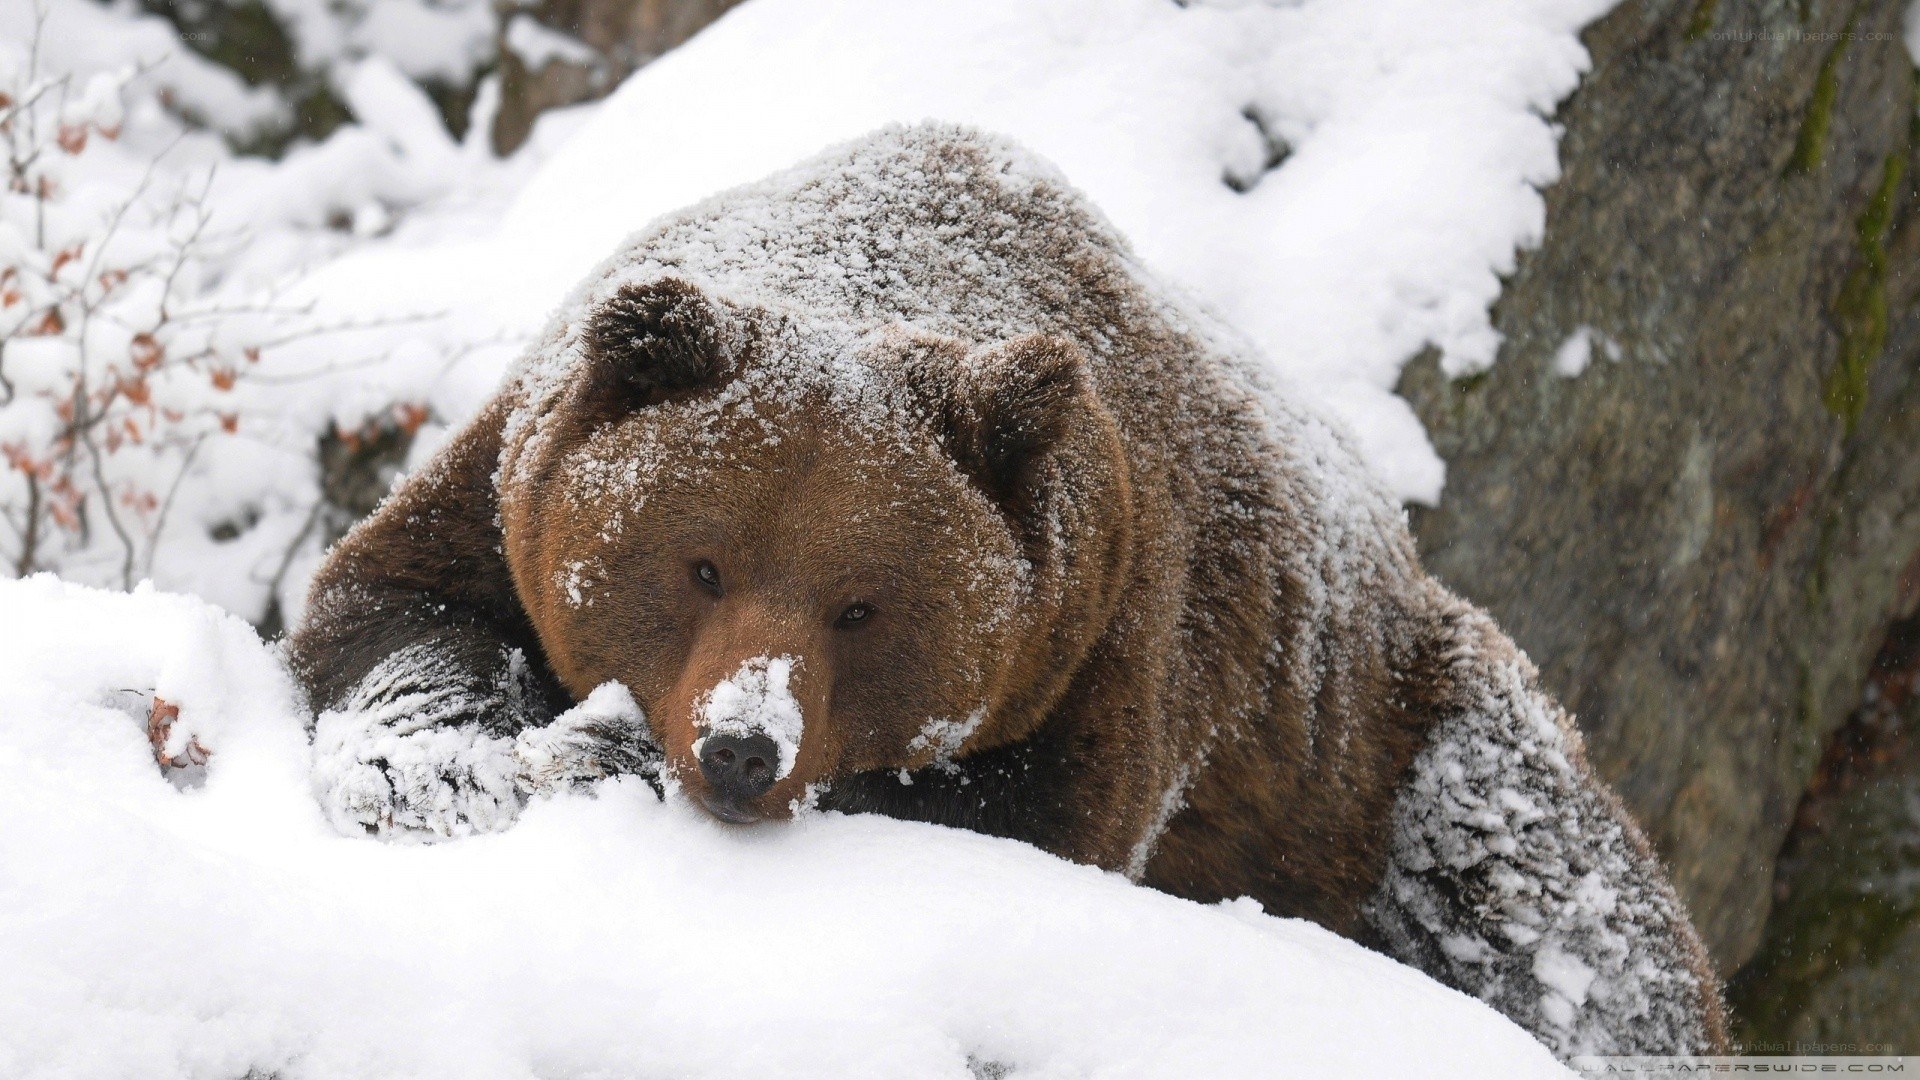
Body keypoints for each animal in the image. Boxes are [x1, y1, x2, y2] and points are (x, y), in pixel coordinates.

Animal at [288, 123, 1727, 1060]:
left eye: (863, 605)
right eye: (700, 563)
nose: (745, 747)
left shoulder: (1113, 638)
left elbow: (1019, 818)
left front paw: (598, 751)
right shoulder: (504, 485)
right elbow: (393, 612)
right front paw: (436, 763)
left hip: (1386, 745)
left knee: (1554, 908)